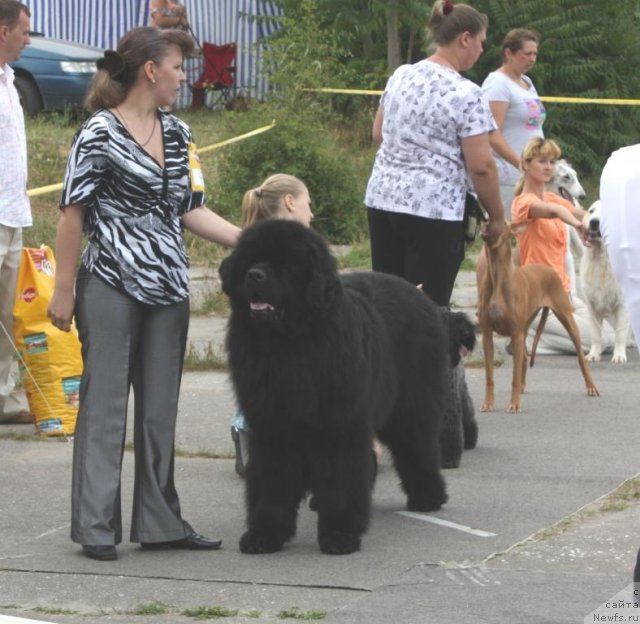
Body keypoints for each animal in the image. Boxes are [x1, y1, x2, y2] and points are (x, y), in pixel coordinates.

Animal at [220, 221, 450, 556]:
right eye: (249, 259)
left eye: (285, 263)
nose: (255, 275)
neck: (287, 344)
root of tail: (419, 293)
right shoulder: (271, 426)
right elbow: (272, 481)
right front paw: (264, 533)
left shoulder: (339, 426)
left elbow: (340, 478)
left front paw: (340, 534)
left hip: (411, 407)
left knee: (417, 447)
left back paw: (428, 497)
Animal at [478, 222, 596, 412]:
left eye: (503, 223)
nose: (485, 223)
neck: (497, 276)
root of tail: (548, 269)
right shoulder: (487, 335)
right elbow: (489, 375)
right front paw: (488, 402)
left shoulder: (515, 333)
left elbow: (514, 375)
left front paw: (514, 404)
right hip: (526, 326)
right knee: (525, 357)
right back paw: (522, 387)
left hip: (567, 319)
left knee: (581, 357)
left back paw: (591, 386)